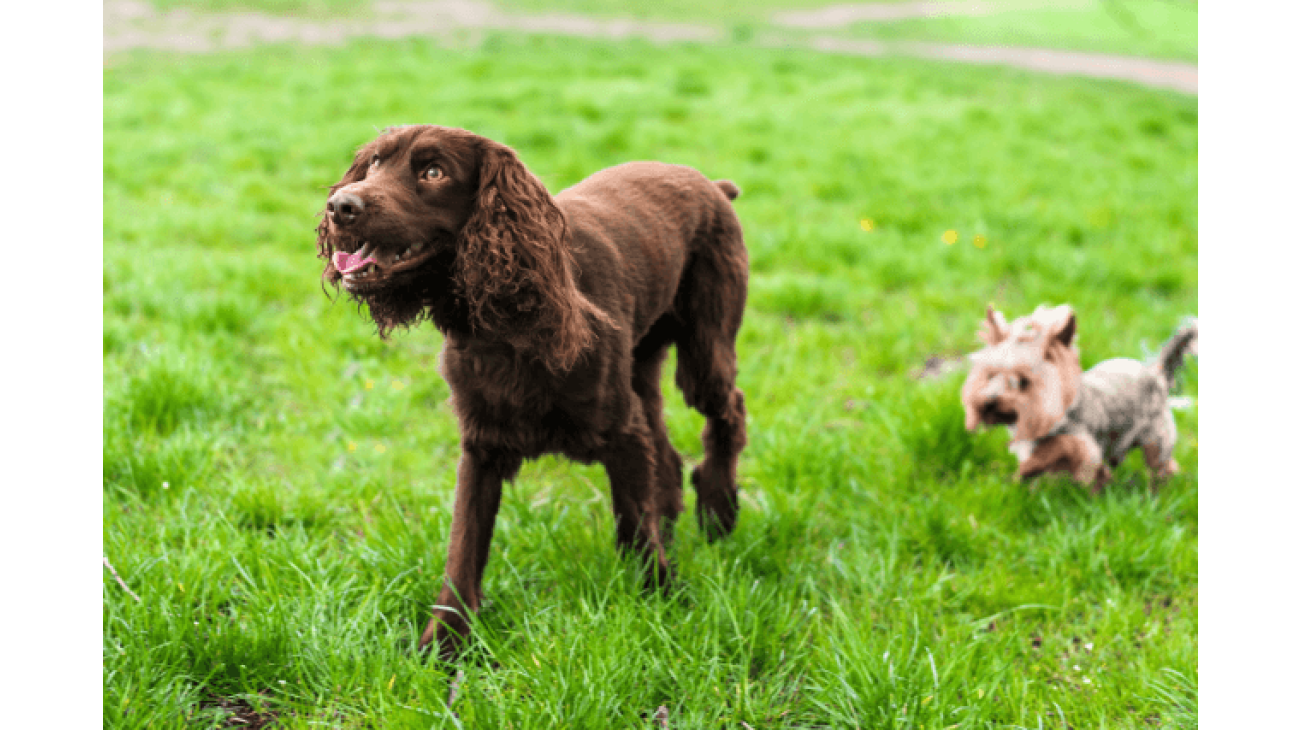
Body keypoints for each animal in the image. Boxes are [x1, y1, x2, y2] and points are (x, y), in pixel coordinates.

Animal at [314, 123, 754, 654]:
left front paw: (660, 607)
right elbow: (463, 550)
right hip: (642, 366)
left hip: (704, 347)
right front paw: (443, 646)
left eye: (434, 172)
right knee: (666, 453)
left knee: (727, 411)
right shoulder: (481, 446)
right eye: (375, 163)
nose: (340, 206)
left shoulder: (620, 433)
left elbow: (633, 526)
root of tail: (712, 185)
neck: (507, 327)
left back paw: (719, 509)